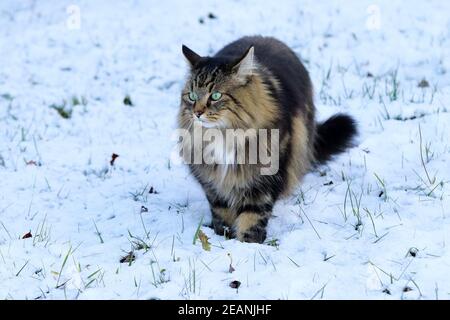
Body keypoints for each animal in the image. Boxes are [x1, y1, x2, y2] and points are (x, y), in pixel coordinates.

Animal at [178, 35, 356, 242]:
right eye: (192, 96)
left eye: (215, 95)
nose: (197, 113)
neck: (226, 135)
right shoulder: (213, 183)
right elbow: (222, 211)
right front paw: (224, 237)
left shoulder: (264, 180)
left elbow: (253, 216)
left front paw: (248, 243)